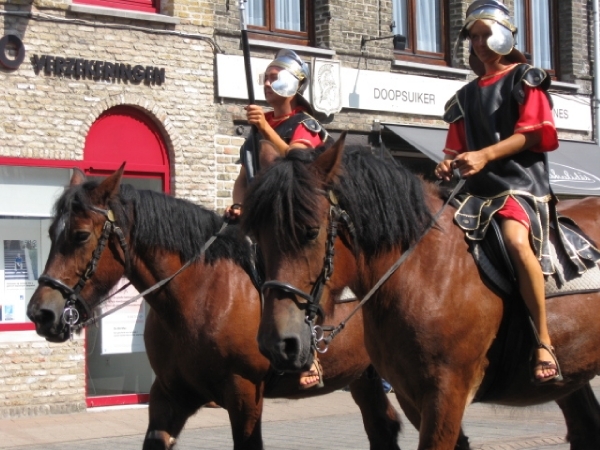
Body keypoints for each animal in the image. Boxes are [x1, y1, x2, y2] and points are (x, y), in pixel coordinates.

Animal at [27, 167, 404, 450]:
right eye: (51, 231)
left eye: (80, 235)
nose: (40, 313)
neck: (200, 295)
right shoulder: (169, 395)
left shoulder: (245, 395)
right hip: (365, 376)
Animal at [241, 137, 600, 450]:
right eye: (256, 235)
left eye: (311, 231)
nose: (278, 343)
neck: (424, 271)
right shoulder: (409, 394)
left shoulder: (447, 393)